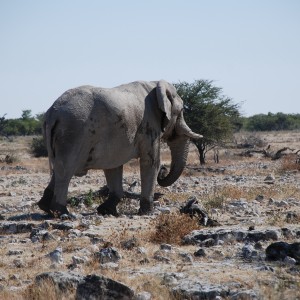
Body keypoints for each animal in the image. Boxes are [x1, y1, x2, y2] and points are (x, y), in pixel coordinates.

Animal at [37, 79, 202, 216]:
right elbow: (151, 162)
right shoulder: (149, 125)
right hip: (73, 133)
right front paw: (148, 212)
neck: (155, 84)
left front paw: (106, 210)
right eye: (181, 111)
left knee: (58, 169)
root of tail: (52, 113)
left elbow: (113, 166)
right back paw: (63, 213)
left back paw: (45, 208)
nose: (164, 171)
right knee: (65, 171)